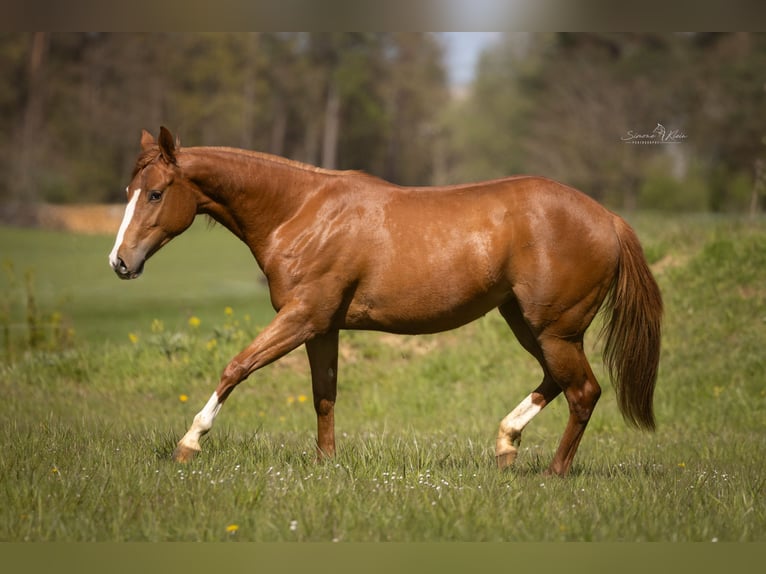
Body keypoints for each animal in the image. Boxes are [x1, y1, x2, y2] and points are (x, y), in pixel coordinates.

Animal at [109, 128, 664, 480]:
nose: (119, 262)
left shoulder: (301, 318)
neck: (300, 212)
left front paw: (189, 443)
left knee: (584, 392)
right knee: (558, 382)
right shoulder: (323, 328)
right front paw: (326, 464)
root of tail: (608, 218)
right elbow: (324, 396)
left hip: (554, 329)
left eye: (155, 194)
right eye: (130, 190)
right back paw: (507, 444)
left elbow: (236, 367)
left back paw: (553, 472)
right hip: (528, 324)